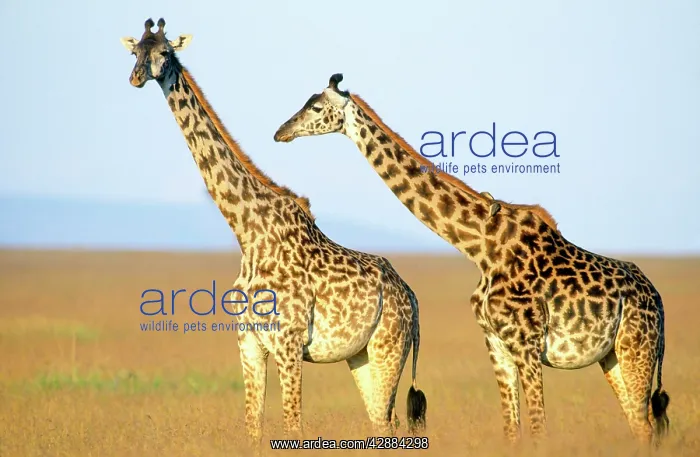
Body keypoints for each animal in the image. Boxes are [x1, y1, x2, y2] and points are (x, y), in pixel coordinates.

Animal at [120, 23, 427, 448]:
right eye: (135, 52)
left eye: (164, 52)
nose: (135, 78)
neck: (248, 231)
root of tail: (411, 297)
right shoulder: (248, 342)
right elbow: (253, 426)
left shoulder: (289, 344)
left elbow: (292, 426)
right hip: (361, 355)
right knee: (383, 424)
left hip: (389, 347)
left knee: (386, 421)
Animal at [273, 73, 671, 446]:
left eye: (315, 106)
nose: (280, 132)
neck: (481, 247)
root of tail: (658, 300)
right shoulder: (496, 344)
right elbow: (512, 430)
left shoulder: (527, 345)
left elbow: (539, 428)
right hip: (612, 356)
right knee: (639, 425)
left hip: (637, 347)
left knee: (646, 424)